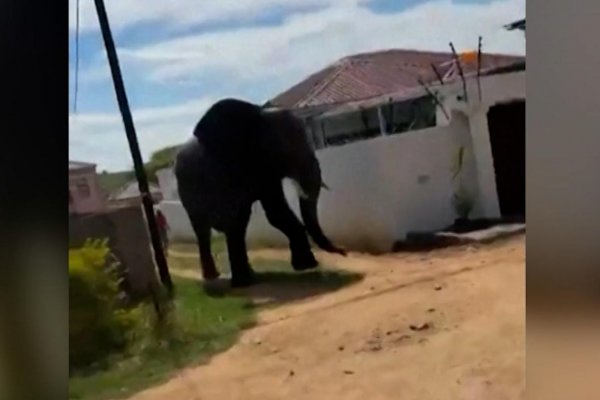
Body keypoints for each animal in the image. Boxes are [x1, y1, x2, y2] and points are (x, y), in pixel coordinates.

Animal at [175, 98, 346, 290]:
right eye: (286, 149)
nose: (344, 252)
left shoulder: (266, 171)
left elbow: (274, 212)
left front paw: (306, 265)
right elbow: (256, 215)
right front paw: (307, 265)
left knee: (239, 225)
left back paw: (247, 276)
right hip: (186, 193)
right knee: (204, 230)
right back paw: (216, 278)